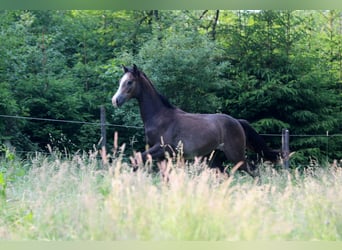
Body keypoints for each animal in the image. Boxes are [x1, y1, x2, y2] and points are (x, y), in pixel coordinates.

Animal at [112, 64, 278, 178]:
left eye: (129, 82)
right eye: (120, 81)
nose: (115, 100)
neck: (159, 116)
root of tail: (237, 122)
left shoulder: (161, 148)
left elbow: (137, 159)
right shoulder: (162, 155)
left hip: (235, 155)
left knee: (253, 171)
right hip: (214, 157)